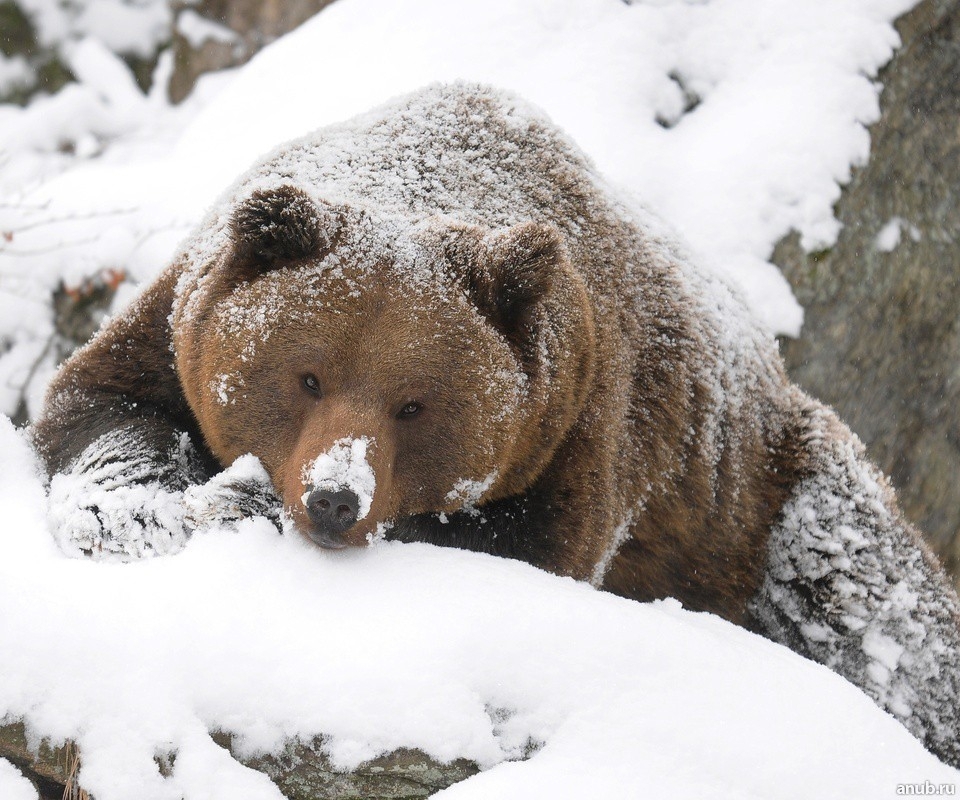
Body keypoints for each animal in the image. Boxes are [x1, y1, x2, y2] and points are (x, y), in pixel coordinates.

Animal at [30, 81, 960, 768]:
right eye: (307, 375)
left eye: (414, 403)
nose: (334, 499)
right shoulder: (178, 317)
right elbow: (102, 404)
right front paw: (135, 511)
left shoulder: (580, 421)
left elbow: (518, 546)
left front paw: (241, 502)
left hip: (764, 496)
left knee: (877, 611)